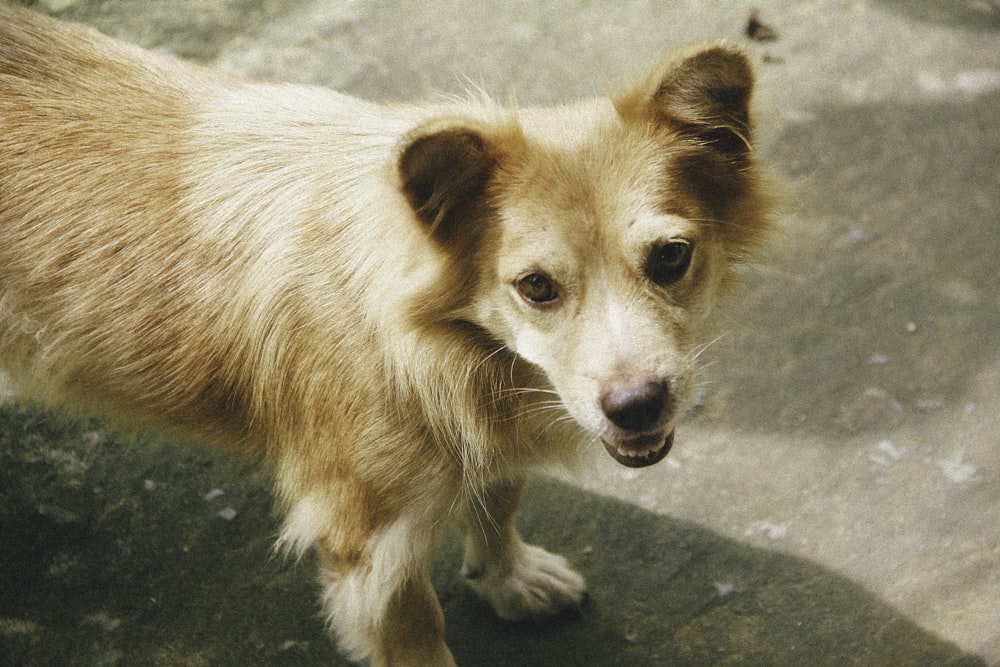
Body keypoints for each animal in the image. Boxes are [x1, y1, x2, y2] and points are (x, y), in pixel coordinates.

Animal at [0, 3, 772, 664]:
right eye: (536, 287)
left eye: (670, 257)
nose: (638, 407)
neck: (433, 343)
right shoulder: (370, 541)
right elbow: (418, 630)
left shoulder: (487, 421)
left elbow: (500, 494)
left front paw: (508, 577)